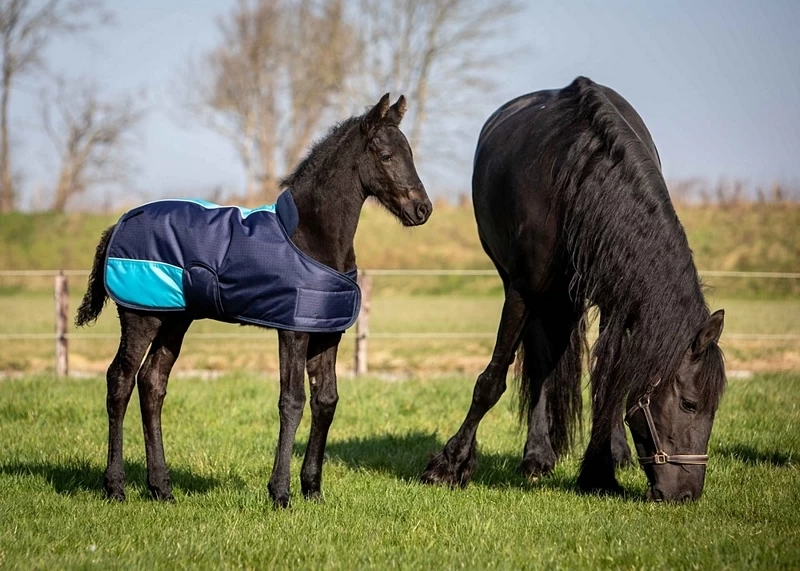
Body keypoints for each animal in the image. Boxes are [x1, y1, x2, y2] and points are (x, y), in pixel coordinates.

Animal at [76, 94, 432, 508]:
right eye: (386, 155)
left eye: (411, 153)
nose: (422, 209)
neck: (310, 236)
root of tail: (116, 225)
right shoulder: (293, 331)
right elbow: (291, 401)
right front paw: (280, 493)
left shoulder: (327, 333)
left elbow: (326, 400)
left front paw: (313, 490)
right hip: (140, 315)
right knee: (120, 380)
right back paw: (115, 487)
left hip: (174, 318)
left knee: (152, 383)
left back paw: (161, 488)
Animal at [421, 77, 726, 502]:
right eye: (690, 404)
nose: (686, 495)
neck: (582, 180)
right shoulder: (523, 292)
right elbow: (491, 382)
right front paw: (448, 466)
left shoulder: (619, 302)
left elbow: (609, 380)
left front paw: (600, 470)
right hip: (530, 292)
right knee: (539, 365)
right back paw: (536, 456)